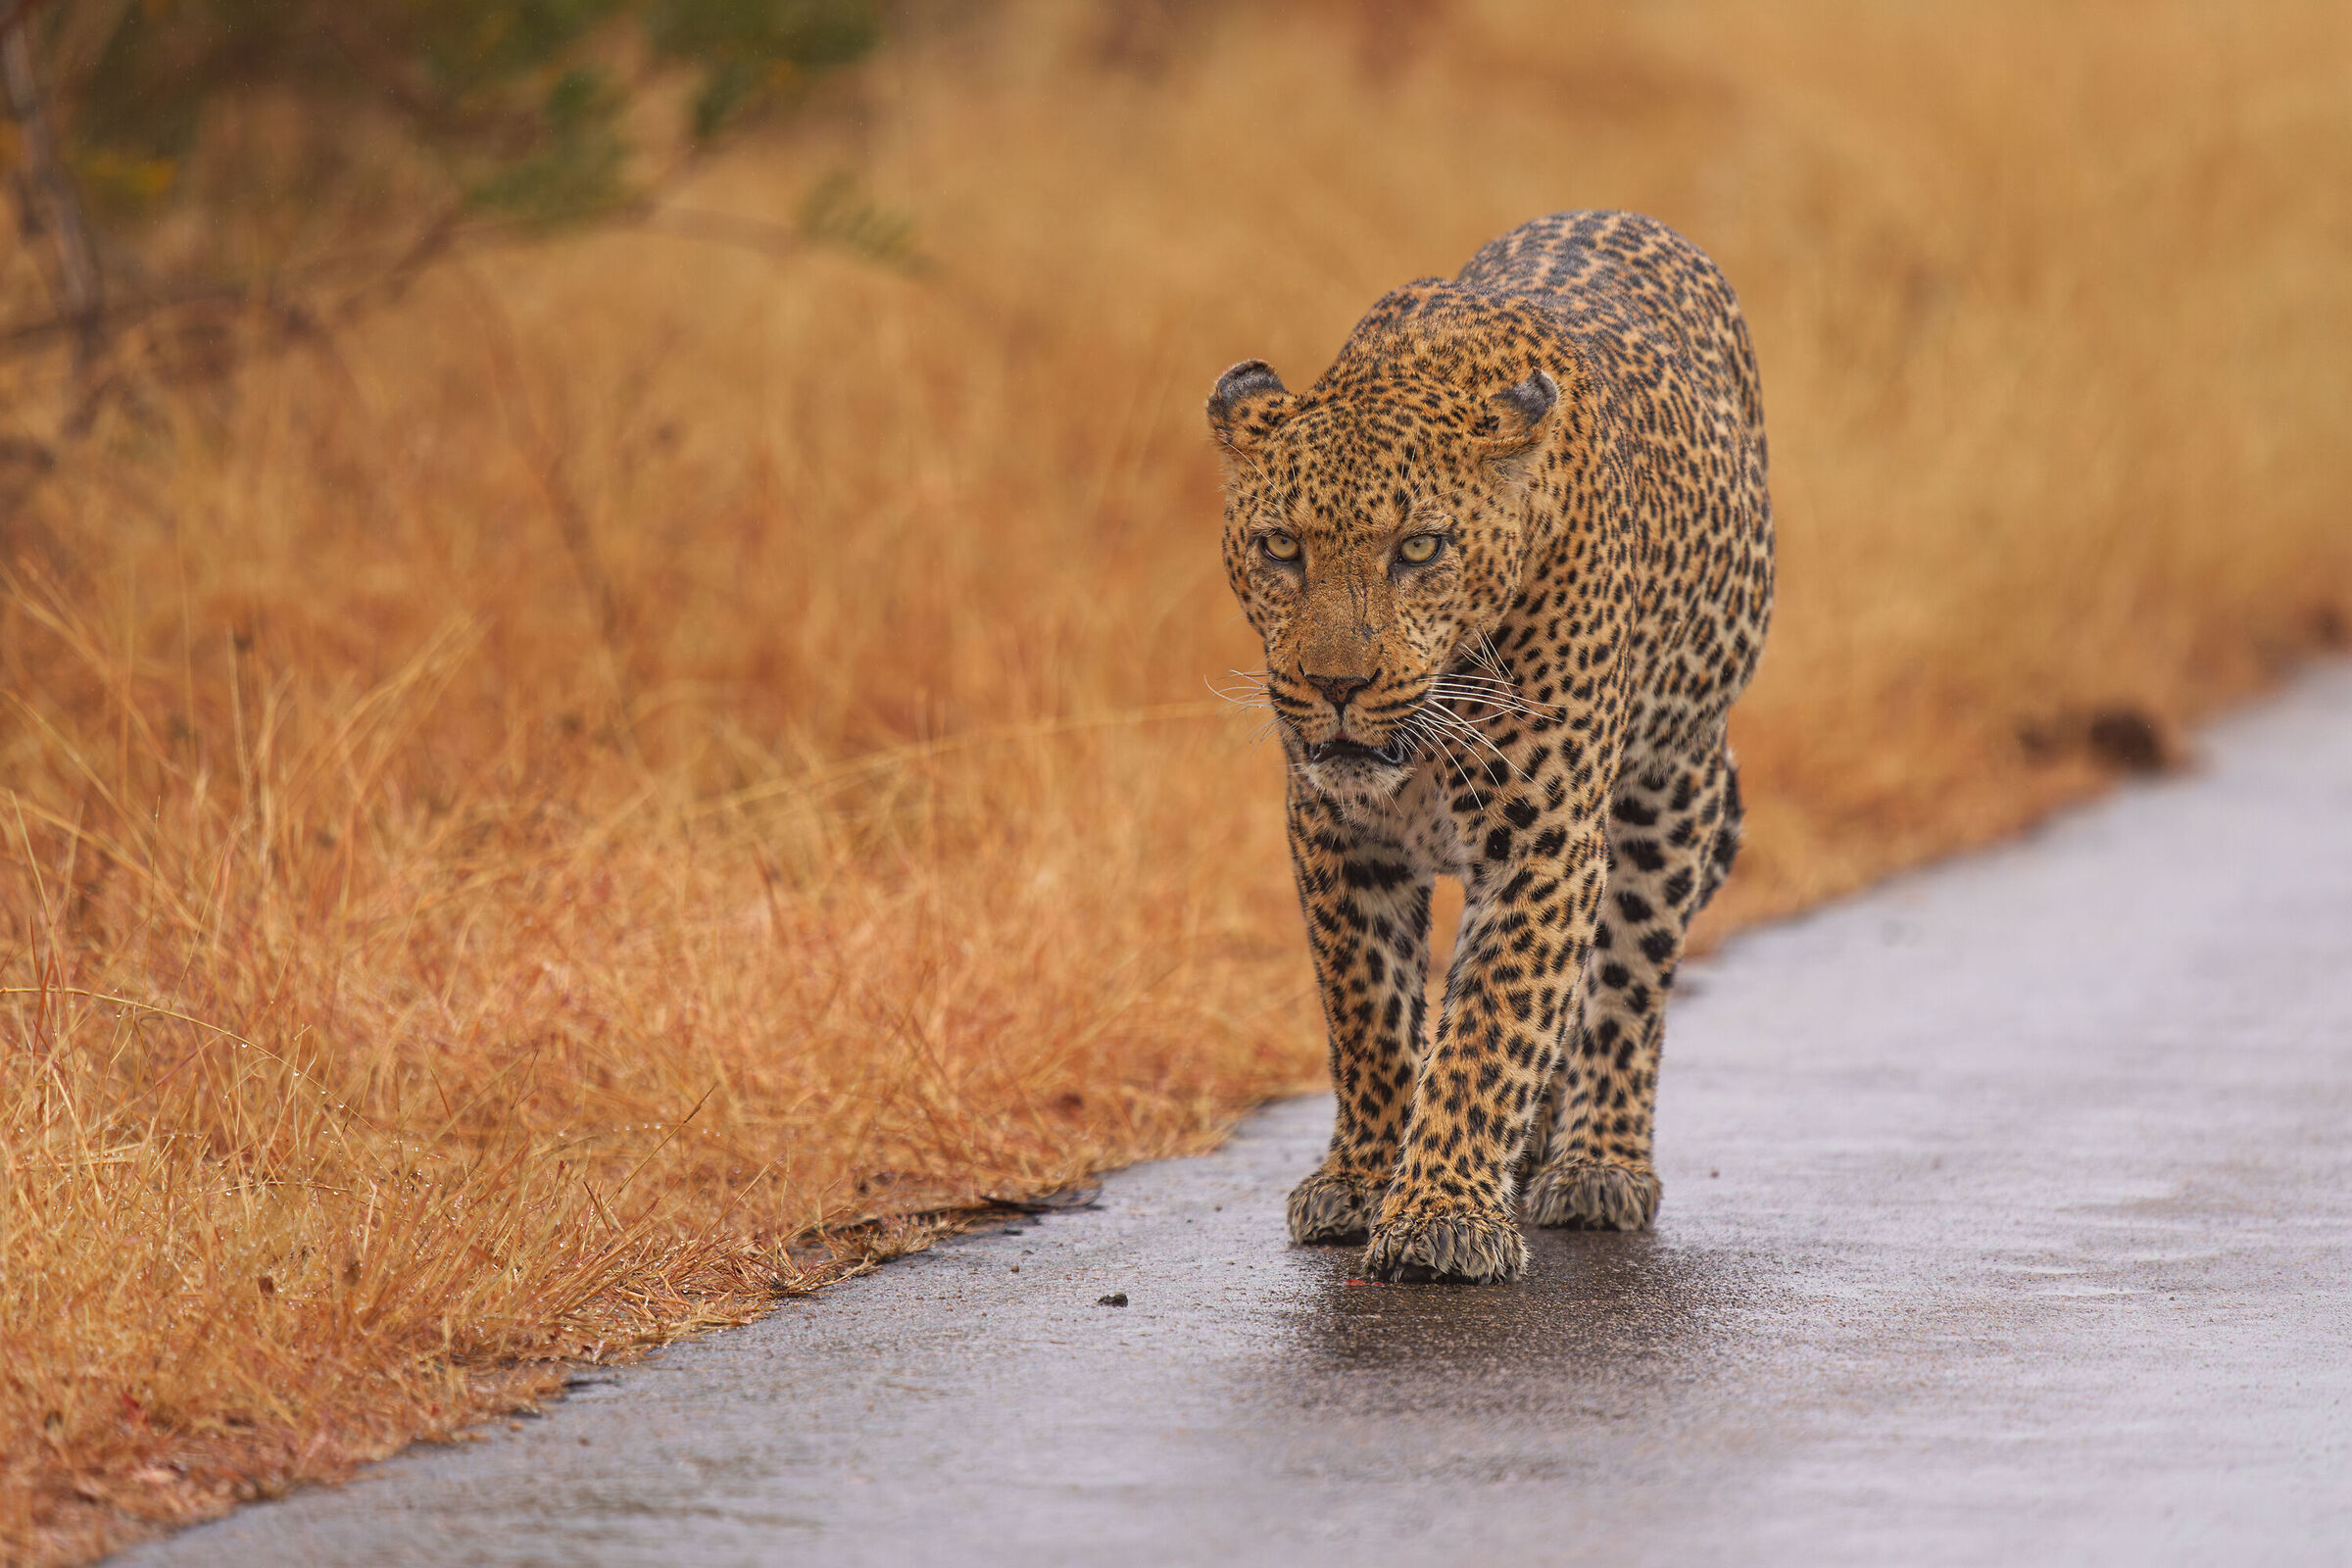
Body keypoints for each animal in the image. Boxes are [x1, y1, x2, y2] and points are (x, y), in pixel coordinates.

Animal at [1207, 210, 1774, 1283]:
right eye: (1281, 548)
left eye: (1420, 548)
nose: (1337, 687)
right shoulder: (1336, 832)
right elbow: (1368, 1010)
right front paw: (1364, 1179)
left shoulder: (1544, 838)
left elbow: (1493, 1022)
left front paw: (1439, 1213)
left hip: (1670, 784)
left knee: (1626, 981)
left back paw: (1596, 1164)